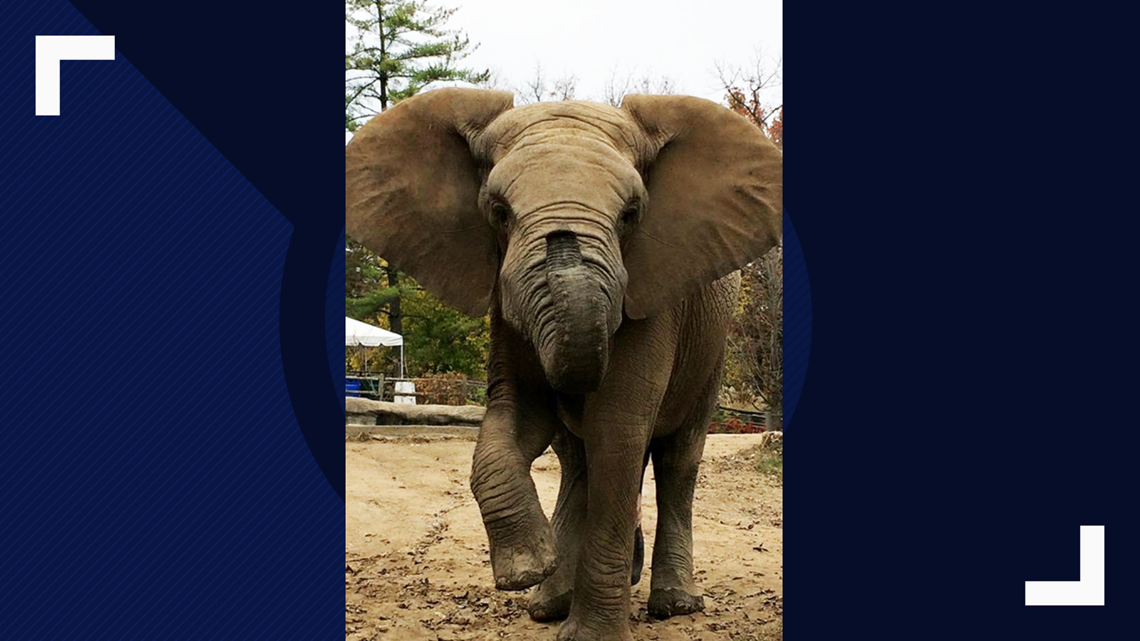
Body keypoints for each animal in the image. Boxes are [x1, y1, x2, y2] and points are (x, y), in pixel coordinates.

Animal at [345, 88, 781, 641]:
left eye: (631, 214)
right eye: (499, 211)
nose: (562, 239)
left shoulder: (653, 301)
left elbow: (616, 427)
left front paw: (592, 635)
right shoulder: (505, 306)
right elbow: (516, 417)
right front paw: (528, 569)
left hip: (711, 350)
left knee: (676, 458)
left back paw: (674, 604)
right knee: (577, 459)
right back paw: (549, 602)